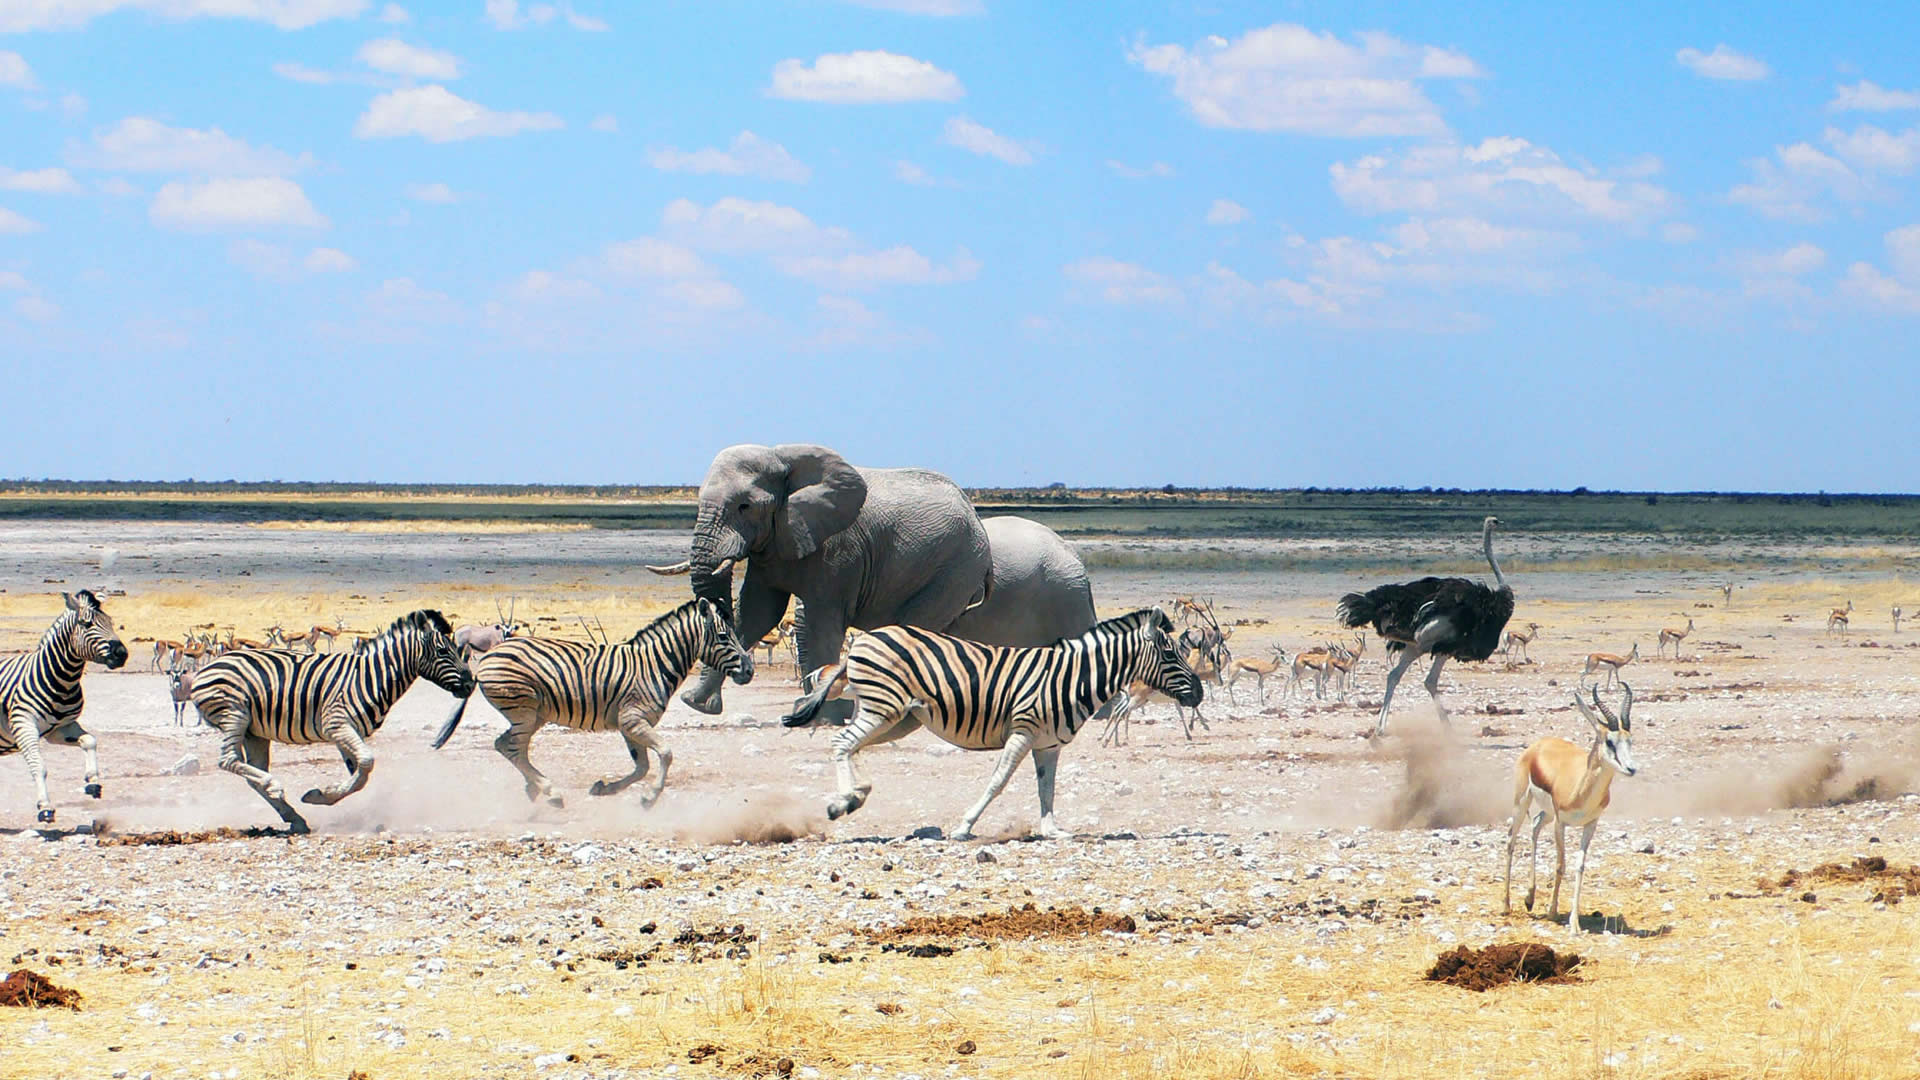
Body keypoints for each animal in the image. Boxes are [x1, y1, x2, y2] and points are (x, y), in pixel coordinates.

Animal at [0, 591, 128, 818]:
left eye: (111, 623)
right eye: (86, 624)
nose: (122, 654)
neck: (63, 680)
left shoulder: (59, 729)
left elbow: (90, 741)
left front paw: (93, 782)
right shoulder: (23, 724)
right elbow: (39, 766)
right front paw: (45, 807)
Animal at [188, 607, 472, 834]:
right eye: (443, 651)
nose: (470, 685)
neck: (373, 676)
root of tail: (204, 670)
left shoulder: (346, 730)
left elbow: (360, 774)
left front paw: (322, 795)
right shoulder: (337, 723)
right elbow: (366, 762)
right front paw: (322, 794)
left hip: (254, 732)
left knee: (251, 771)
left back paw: (294, 817)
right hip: (235, 714)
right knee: (229, 760)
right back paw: (274, 786)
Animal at [432, 595, 752, 807]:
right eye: (723, 637)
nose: (749, 670)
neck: (655, 664)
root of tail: (487, 658)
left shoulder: (629, 725)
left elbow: (642, 767)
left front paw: (604, 788)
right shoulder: (633, 720)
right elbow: (666, 753)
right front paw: (650, 797)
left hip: (533, 715)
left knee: (508, 746)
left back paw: (535, 789)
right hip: (524, 710)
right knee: (511, 748)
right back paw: (550, 792)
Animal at [648, 438, 1090, 714]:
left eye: (745, 506)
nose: (746, 675)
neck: (783, 455)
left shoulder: (839, 548)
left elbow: (819, 621)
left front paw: (822, 713)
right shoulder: (777, 539)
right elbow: (758, 612)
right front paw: (696, 703)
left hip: (957, 570)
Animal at [779, 611, 1198, 837]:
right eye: (1169, 654)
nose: (1198, 693)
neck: (1070, 678)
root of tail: (862, 641)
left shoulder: (1049, 744)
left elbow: (1048, 789)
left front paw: (1052, 830)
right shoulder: (1023, 730)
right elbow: (998, 781)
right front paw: (965, 826)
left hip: (886, 712)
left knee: (853, 742)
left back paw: (856, 793)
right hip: (883, 707)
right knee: (842, 744)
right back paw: (842, 801)